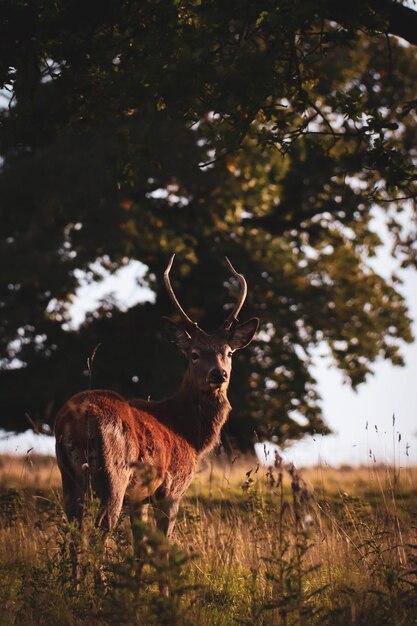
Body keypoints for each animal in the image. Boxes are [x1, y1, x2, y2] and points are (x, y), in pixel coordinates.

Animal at [54, 252, 256, 580]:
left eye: (228, 352)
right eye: (194, 354)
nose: (219, 374)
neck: (188, 432)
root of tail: (74, 421)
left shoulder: (140, 499)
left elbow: (139, 551)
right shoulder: (172, 490)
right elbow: (163, 550)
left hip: (67, 474)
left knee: (74, 529)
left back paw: (74, 585)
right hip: (112, 473)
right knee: (101, 530)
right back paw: (97, 587)